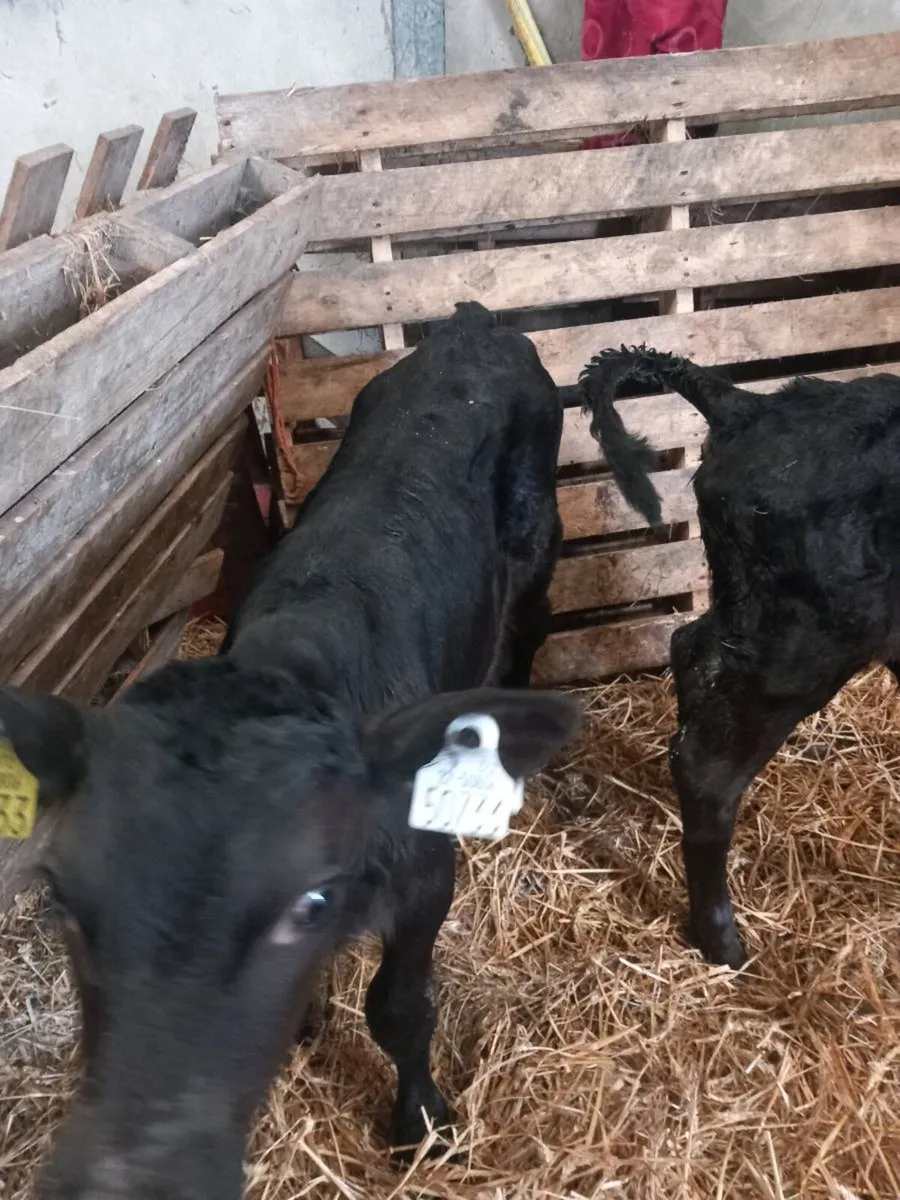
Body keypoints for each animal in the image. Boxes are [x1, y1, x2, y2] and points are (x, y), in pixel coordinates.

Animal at [0, 302, 580, 1199]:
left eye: (309, 900)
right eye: (64, 900)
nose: (126, 1181)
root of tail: (474, 325)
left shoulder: (424, 871)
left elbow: (400, 1008)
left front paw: (422, 1124)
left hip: (538, 530)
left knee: (530, 623)